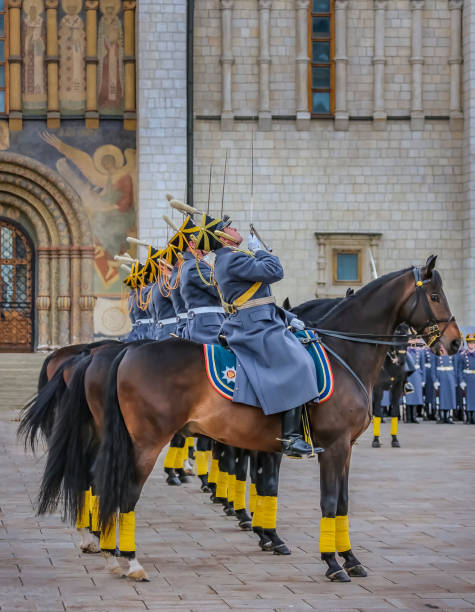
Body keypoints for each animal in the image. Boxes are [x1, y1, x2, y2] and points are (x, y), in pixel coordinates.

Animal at [93, 256, 462, 580]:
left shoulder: (341, 449)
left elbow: (338, 501)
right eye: (434, 296)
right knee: (127, 493)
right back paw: (130, 560)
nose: (456, 342)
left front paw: (349, 558)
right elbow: (326, 501)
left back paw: (112, 548)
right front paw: (331, 563)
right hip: (147, 443)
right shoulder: (333, 447)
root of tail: (128, 351)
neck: (343, 353)